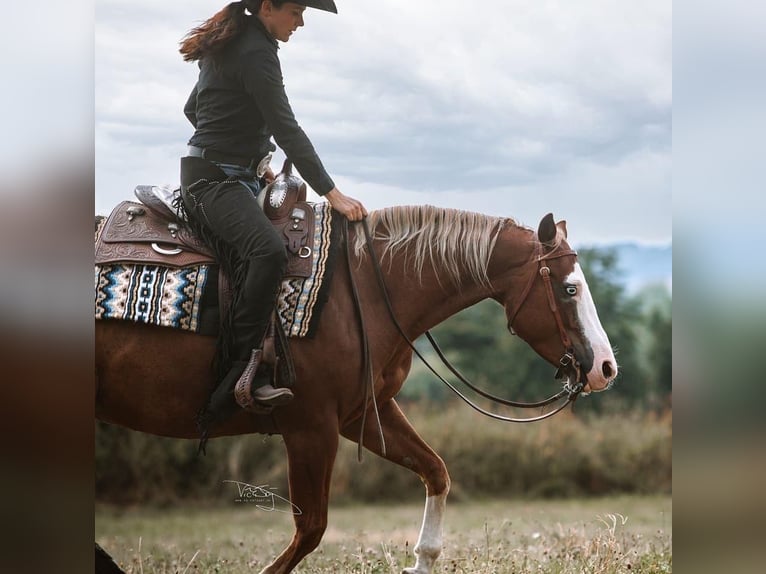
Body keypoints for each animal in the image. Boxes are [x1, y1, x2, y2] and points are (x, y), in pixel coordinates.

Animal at [95, 205, 618, 574]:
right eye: (569, 289)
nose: (606, 368)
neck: (365, 289)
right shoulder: (311, 428)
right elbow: (311, 528)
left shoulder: (363, 414)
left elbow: (437, 471)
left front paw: (421, 562)